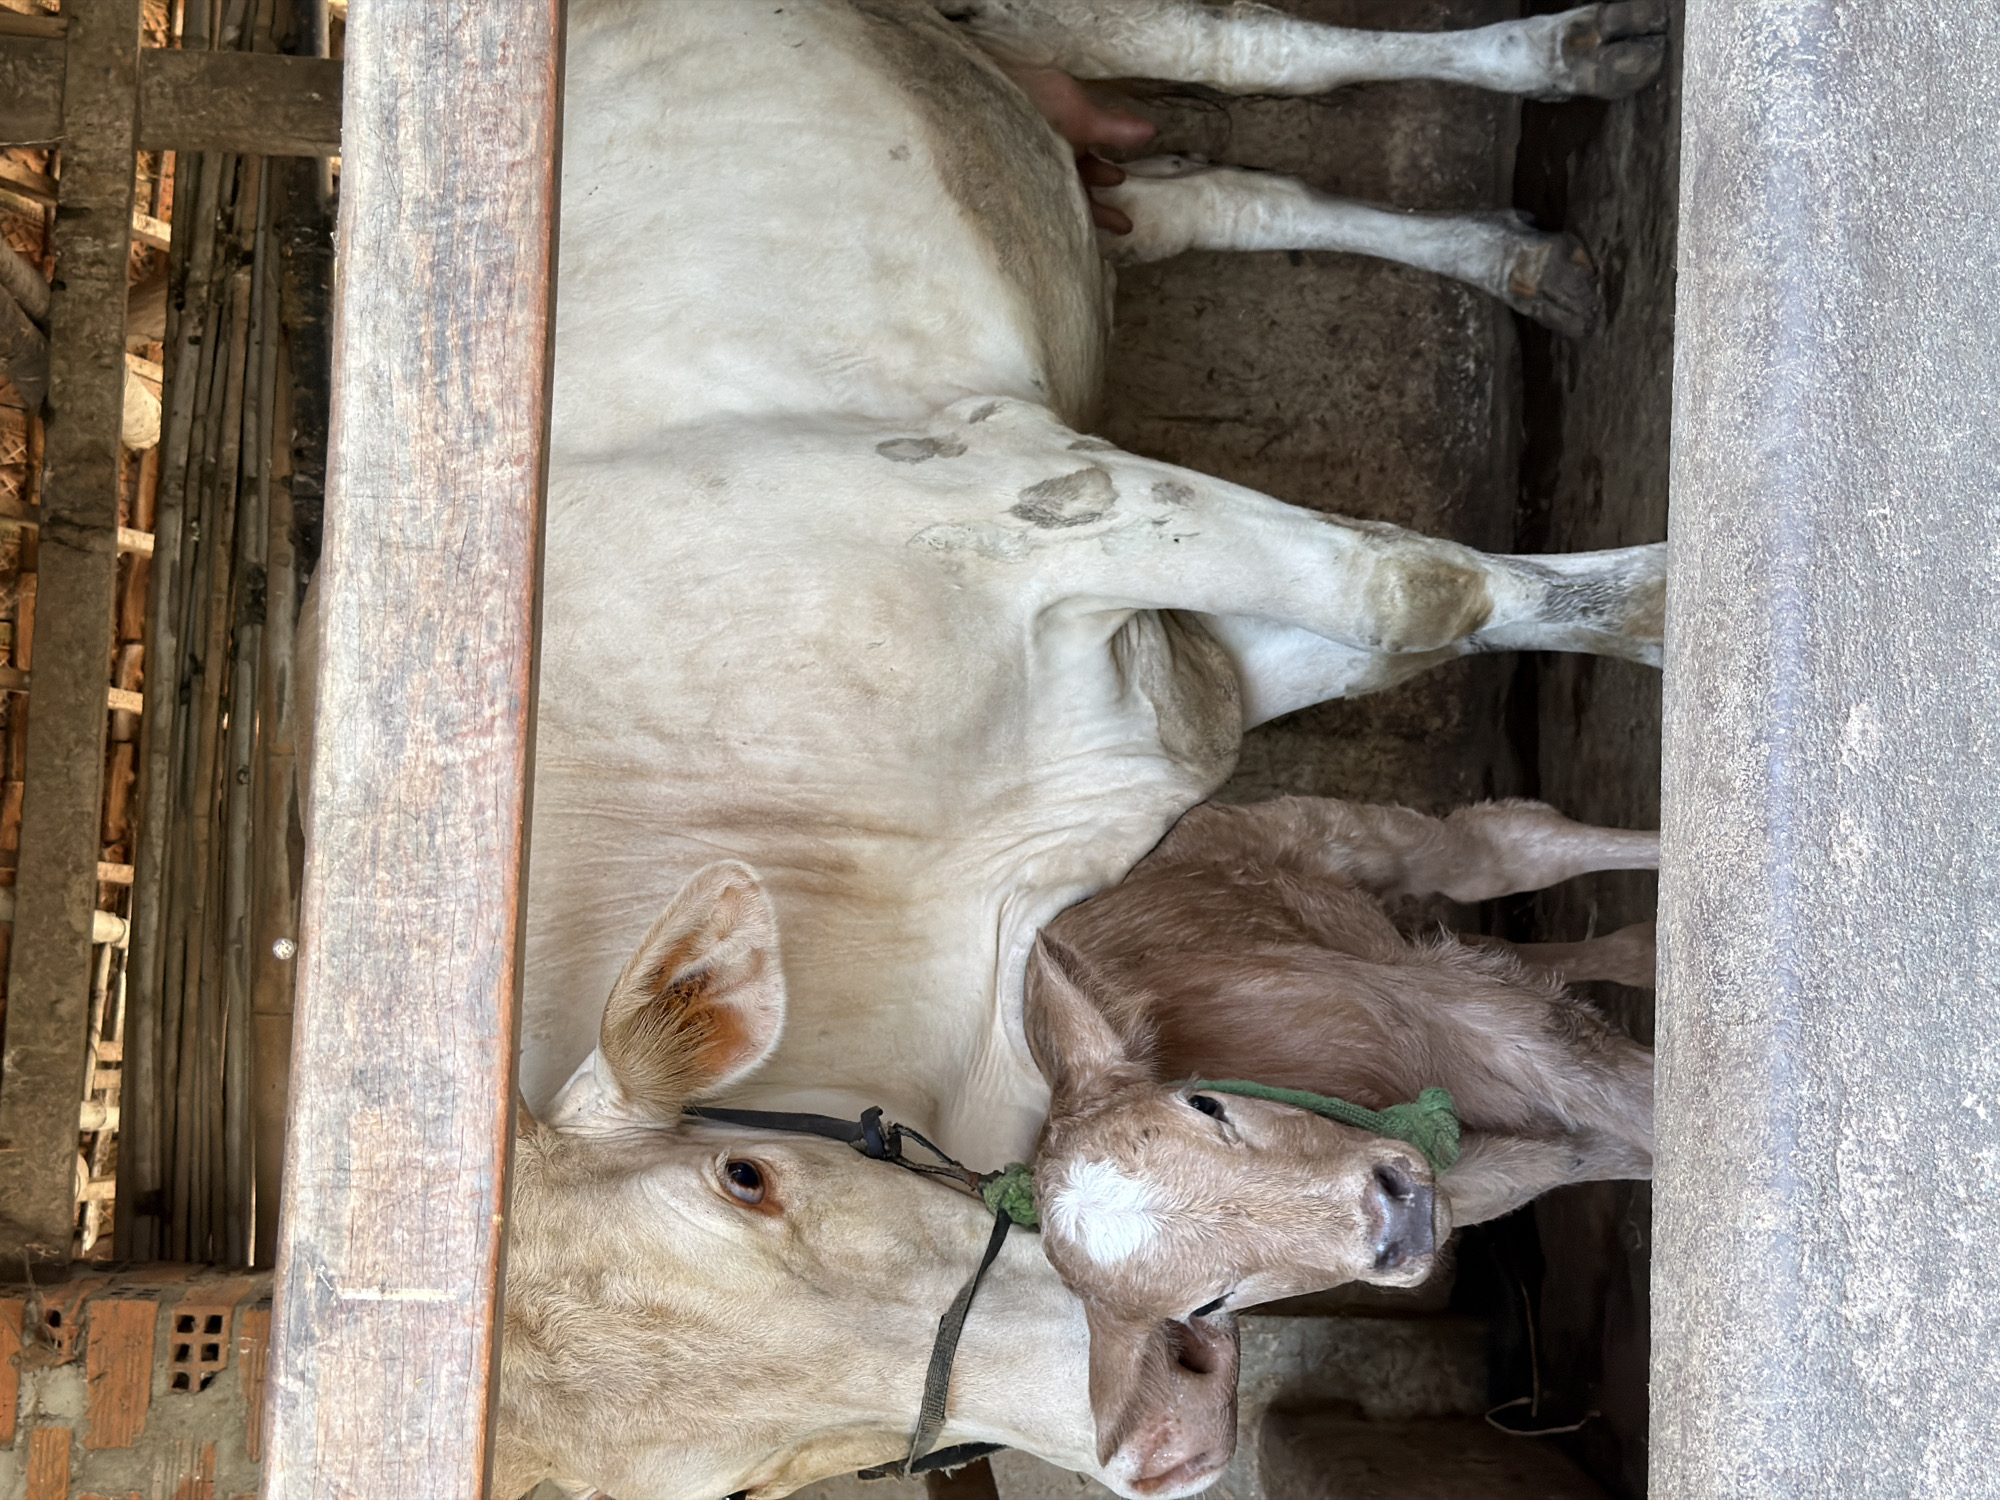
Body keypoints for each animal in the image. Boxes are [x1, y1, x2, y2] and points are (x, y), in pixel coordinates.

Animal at [1026, 796, 1656, 1341]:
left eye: (1205, 1103)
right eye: (1209, 1304)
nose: (1397, 1221)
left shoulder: (1460, 1008)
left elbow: (1627, 1095)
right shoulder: (1542, 1161)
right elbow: (1629, 1145)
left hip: (1346, 839)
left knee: (1501, 851)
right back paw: (1645, 950)